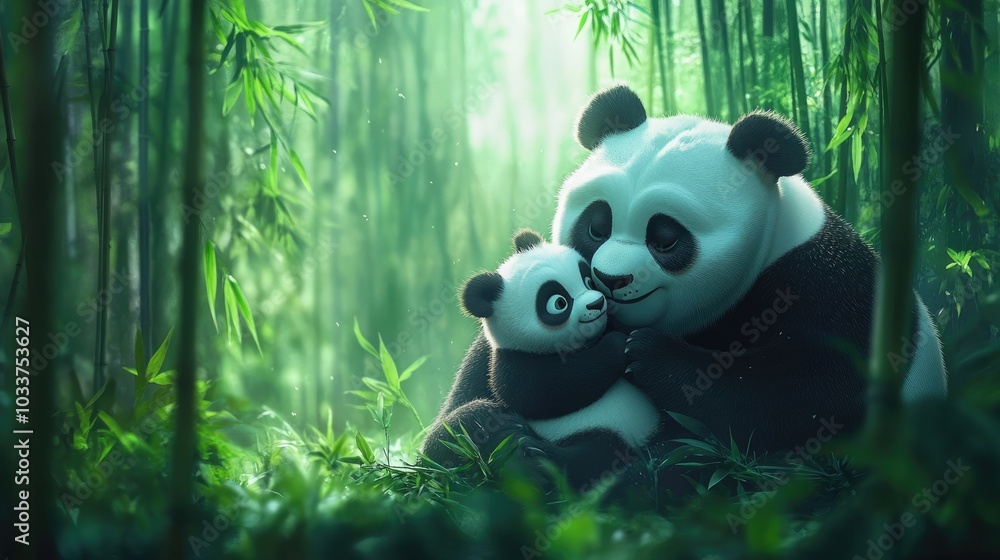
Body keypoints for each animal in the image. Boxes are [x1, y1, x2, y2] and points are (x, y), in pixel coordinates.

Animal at [457, 228, 660, 449]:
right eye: (559, 303)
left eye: (588, 281)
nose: (597, 303)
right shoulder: (516, 363)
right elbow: (559, 386)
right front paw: (617, 343)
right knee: (594, 448)